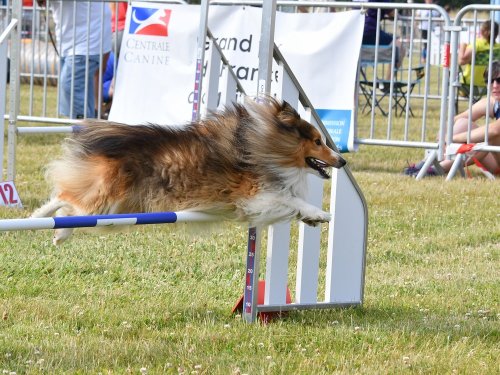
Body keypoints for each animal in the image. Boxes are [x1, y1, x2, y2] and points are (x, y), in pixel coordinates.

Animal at [33, 98, 346, 245]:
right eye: (317, 142)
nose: (342, 161)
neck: (265, 144)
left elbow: (292, 204)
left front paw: (312, 218)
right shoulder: (254, 196)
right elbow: (291, 200)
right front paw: (321, 214)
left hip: (120, 205)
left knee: (66, 198)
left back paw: (39, 219)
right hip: (108, 201)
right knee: (69, 202)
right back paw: (54, 230)